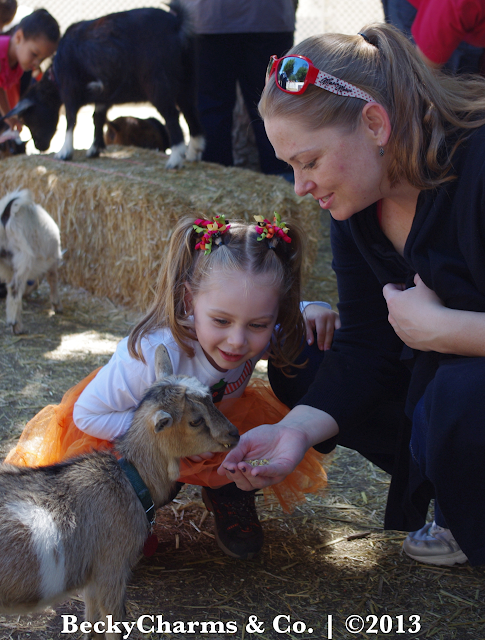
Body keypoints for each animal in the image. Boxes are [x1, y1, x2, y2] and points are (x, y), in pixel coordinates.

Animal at [0, 188, 62, 332]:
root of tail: (5, 215)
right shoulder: (52, 260)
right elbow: (53, 279)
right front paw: (56, 304)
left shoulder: (9, 268)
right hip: (23, 255)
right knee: (14, 288)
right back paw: (15, 324)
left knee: (12, 289)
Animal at [0, 348, 238, 636]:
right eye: (194, 421)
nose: (234, 434)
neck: (130, 481)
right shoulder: (111, 568)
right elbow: (115, 623)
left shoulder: (91, 579)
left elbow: (92, 624)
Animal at [7, 3, 204, 168]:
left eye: (27, 118)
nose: (40, 147)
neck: (55, 73)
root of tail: (177, 24)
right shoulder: (104, 94)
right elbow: (98, 118)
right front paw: (95, 149)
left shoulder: (70, 89)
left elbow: (71, 119)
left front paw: (64, 152)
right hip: (187, 81)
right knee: (191, 112)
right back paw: (194, 152)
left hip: (158, 82)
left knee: (172, 116)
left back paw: (175, 159)